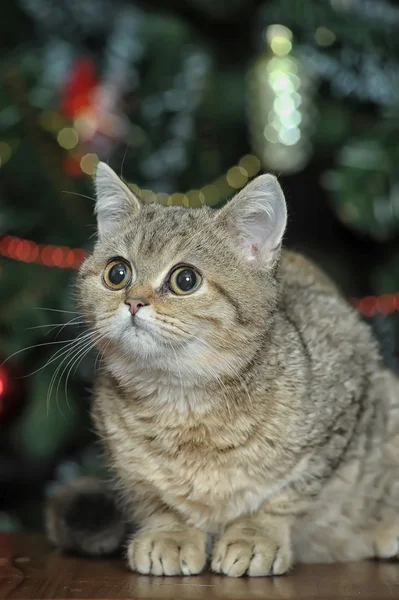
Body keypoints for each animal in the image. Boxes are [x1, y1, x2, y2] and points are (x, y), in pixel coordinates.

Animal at [47, 162, 399, 576]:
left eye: (185, 279)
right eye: (117, 274)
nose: (132, 302)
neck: (184, 401)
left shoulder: (345, 402)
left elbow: (284, 495)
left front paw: (255, 534)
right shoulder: (122, 455)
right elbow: (154, 496)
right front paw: (171, 531)